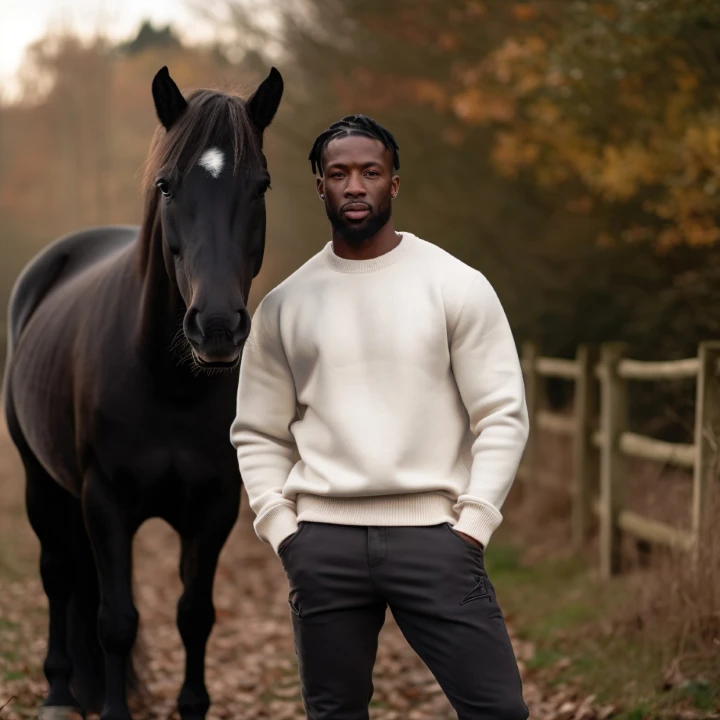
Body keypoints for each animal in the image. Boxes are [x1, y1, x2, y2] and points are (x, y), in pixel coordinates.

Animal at [2, 64, 284, 716]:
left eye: (260, 186)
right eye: (166, 185)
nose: (217, 326)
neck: (168, 385)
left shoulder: (214, 509)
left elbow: (195, 617)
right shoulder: (105, 503)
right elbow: (116, 621)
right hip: (41, 482)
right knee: (59, 574)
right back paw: (59, 691)